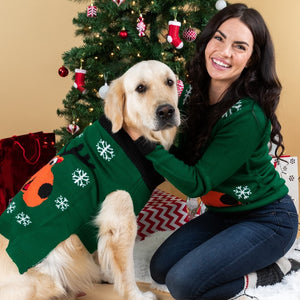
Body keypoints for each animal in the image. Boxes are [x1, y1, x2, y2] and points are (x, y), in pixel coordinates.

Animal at [0, 59, 180, 298]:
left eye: (169, 82)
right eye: (140, 88)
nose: (167, 111)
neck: (128, 138)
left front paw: (106, 275)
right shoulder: (120, 220)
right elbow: (127, 270)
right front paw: (136, 295)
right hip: (47, 278)